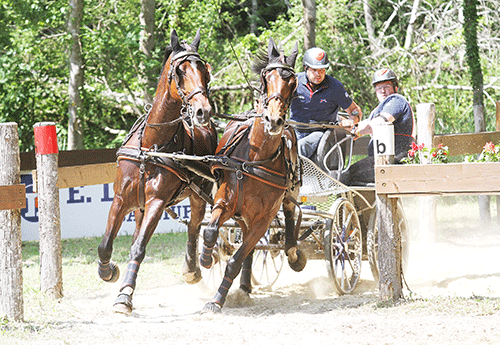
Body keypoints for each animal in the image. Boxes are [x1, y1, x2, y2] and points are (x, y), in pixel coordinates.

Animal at [95, 28, 217, 314]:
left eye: (204, 71)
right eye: (180, 71)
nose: (203, 111)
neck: (150, 146)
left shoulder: (157, 202)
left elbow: (139, 248)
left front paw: (124, 296)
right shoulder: (121, 199)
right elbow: (106, 245)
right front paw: (110, 271)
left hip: (198, 193)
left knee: (194, 226)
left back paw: (192, 270)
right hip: (139, 206)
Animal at [199, 37, 304, 312]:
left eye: (293, 84)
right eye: (266, 78)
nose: (274, 120)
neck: (255, 159)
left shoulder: (263, 220)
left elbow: (236, 260)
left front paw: (216, 301)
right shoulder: (224, 201)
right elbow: (211, 231)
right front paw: (206, 258)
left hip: (288, 195)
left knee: (288, 216)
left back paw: (292, 253)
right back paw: (243, 284)